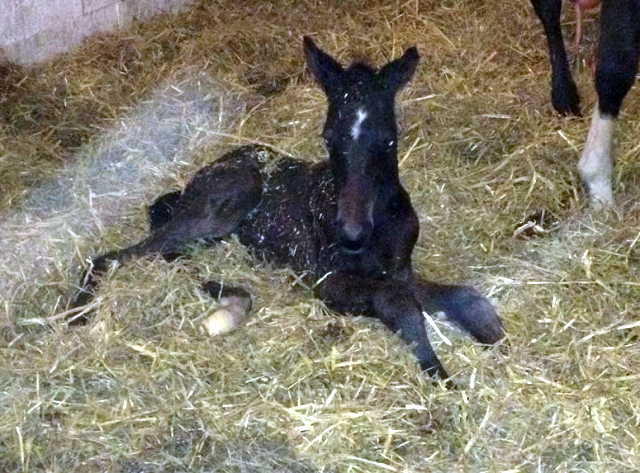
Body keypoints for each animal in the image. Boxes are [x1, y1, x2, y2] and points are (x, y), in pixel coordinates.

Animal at [75, 38, 504, 382]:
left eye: (388, 139)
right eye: (329, 137)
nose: (351, 232)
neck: (378, 227)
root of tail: (203, 174)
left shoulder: (400, 270)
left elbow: (463, 296)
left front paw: (495, 338)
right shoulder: (327, 279)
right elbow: (395, 303)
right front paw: (441, 375)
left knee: (170, 250)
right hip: (224, 205)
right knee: (117, 255)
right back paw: (79, 312)